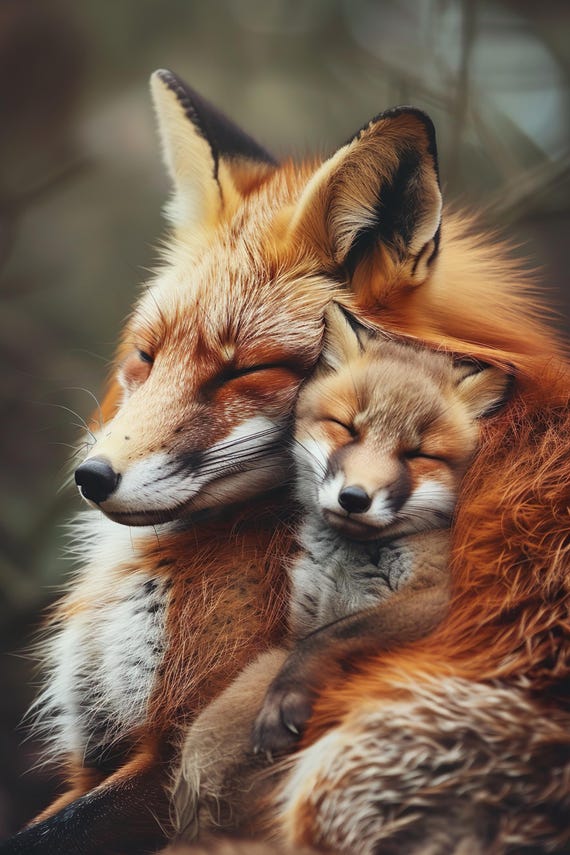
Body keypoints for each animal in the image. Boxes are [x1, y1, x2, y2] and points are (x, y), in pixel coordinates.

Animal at [170, 302, 511, 840]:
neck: (346, 566)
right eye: (347, 428)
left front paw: (285, 701)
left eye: (418, 454)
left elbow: (330, 638)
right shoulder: (297, 623)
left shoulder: (443, 600)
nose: (355, 498)